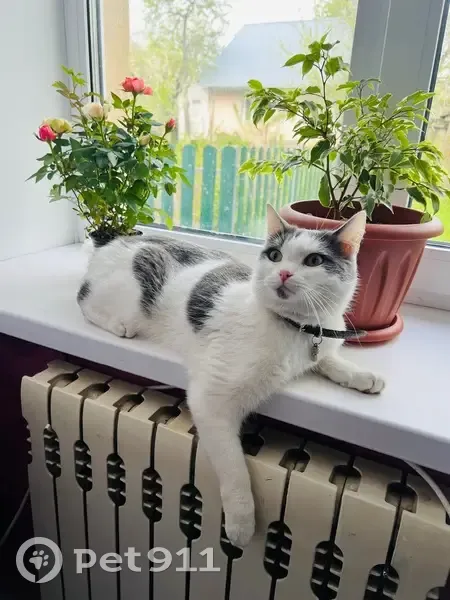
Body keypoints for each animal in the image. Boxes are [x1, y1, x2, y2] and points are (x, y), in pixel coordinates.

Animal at [78, 205, 384, 547]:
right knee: (85, 301)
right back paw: (118, 325)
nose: (283, 273)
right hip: (129, 296)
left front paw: (362, 376)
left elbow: (330, 359)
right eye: (275, 255)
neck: (297, 330)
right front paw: (241, 522)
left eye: (314, 261)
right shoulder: (211, 400)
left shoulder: (321, 344)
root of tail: (114, 242)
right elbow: (233, 465)